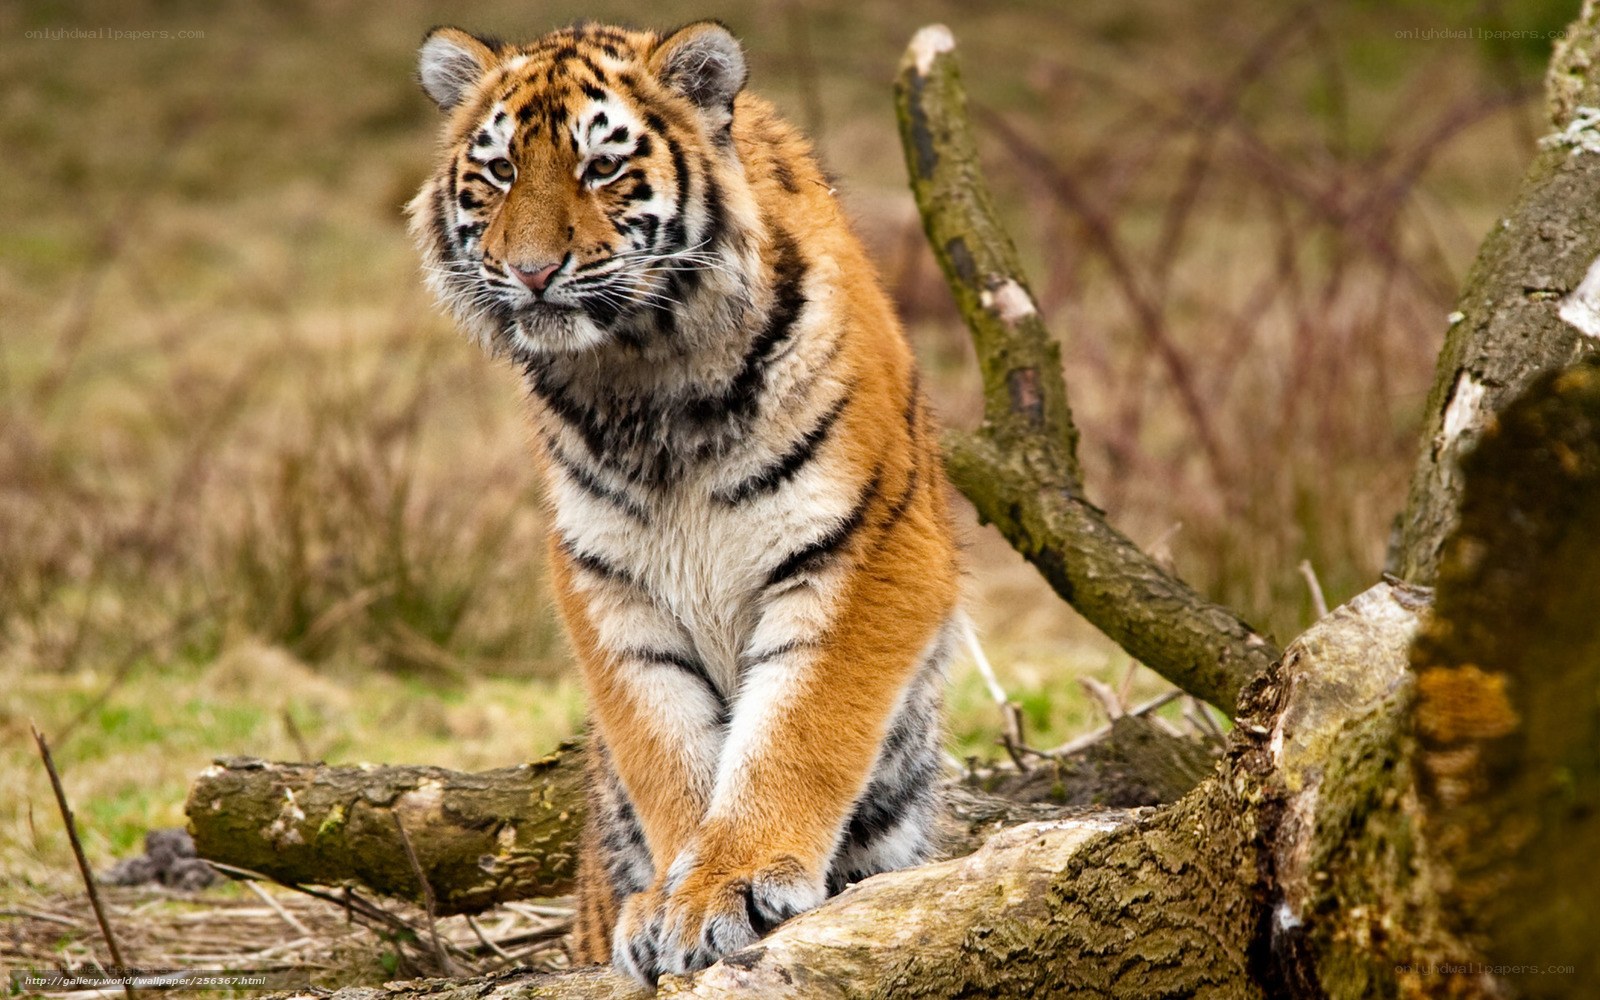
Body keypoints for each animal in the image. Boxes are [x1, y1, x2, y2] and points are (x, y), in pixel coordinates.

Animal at [407, 19, 960, 984]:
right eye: (501, 170)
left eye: (600, 168)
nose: (532, 271)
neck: (644, 377)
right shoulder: (606, 581)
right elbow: (666, 748)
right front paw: (671, 899)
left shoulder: (866, 545)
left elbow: (796, 729)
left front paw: (727, 887)